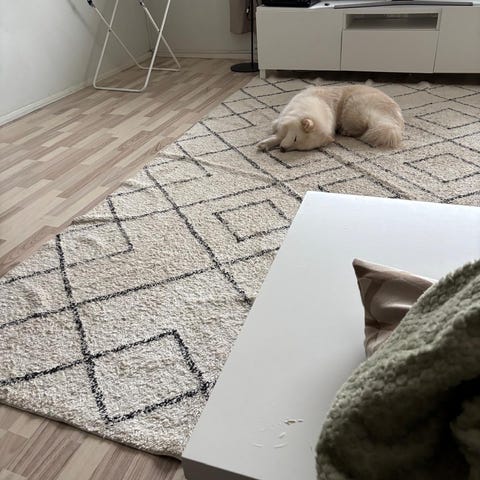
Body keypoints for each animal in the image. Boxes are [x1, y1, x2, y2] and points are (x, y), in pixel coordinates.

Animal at [257, 85, 404, 152]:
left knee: (364, 129)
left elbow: (279, 135)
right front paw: (267, 143)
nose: (282, 150)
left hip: (355, 113)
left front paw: (267, 143)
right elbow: (278, 132)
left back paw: (346, 131)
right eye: (295, 138)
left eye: (298, 147)